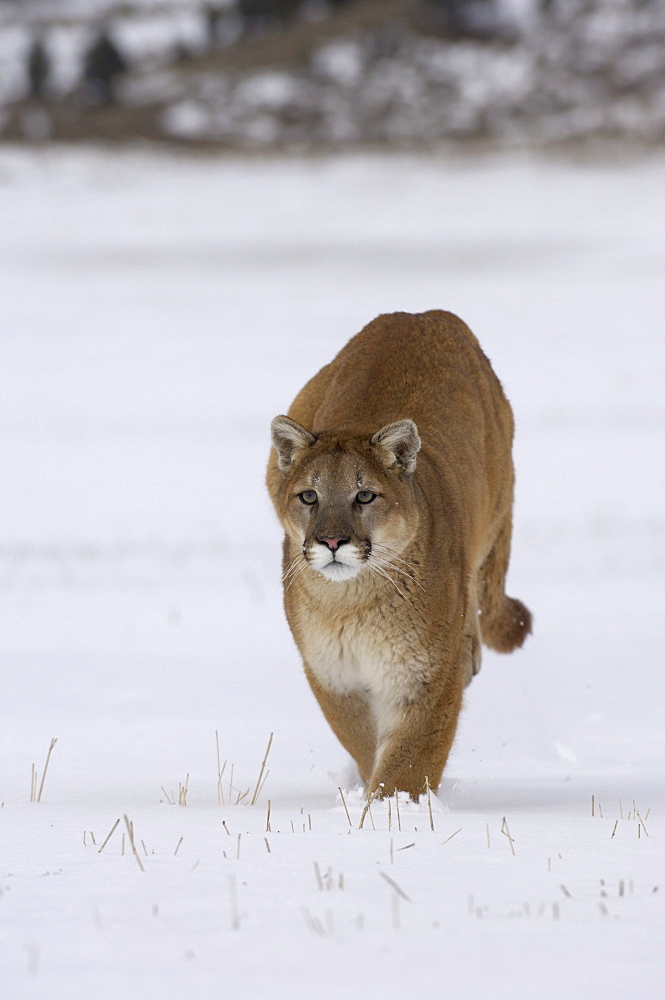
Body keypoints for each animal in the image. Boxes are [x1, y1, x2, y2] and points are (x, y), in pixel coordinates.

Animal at [268, 308, 532, 800]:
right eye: (310, 496)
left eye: (365, 496)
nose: (332, 541)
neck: (350, 604)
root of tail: (426, 313)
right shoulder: (333, 674)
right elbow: (363, 740)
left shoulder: (424, 676)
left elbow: (410, 759)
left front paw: (390, 809)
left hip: (493, 507)